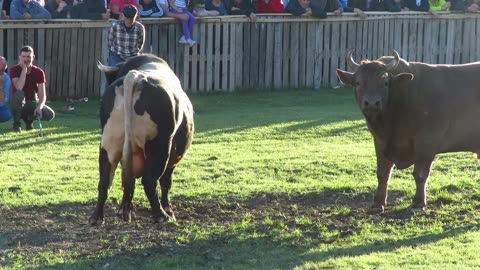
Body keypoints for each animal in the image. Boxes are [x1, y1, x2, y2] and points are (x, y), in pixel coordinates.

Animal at [89, 54, 194, 224]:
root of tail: (136, 76)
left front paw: (125, 210)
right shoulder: (172, 157)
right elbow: (166, 181)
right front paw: (168, 209)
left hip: (109, 144)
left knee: (105, 182)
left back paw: (97, 217)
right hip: (159, 146)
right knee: (150, 181)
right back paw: (161, 215)